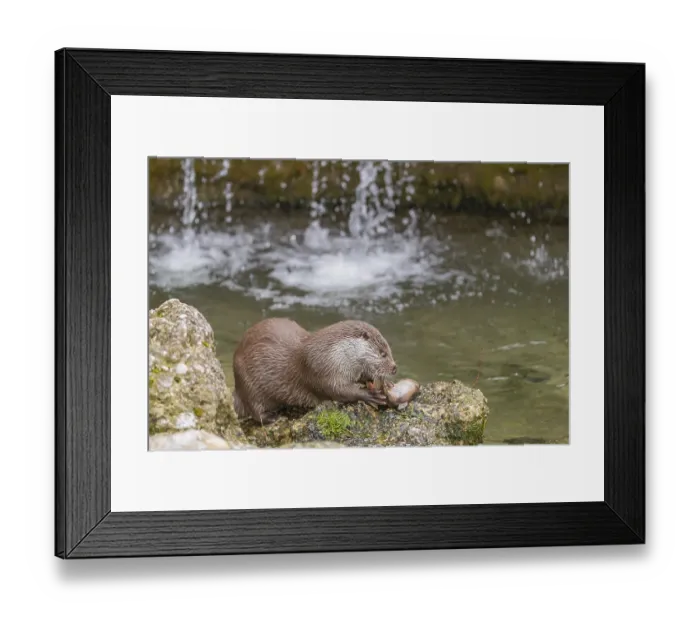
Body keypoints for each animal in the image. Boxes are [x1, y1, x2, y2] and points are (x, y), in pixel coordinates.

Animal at [233, 318, 397, 424]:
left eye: (390, 350)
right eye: (383, 353)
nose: (395, 368)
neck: (332, 352)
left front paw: (387, 384)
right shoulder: (321, 370)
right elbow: (338, 390)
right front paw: (369, 394)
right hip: (247, 382)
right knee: (254, 409)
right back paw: (272, 417)